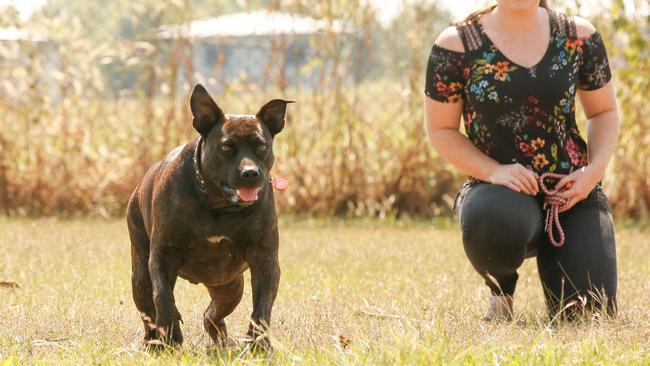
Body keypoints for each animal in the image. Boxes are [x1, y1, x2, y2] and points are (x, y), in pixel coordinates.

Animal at [127, 83, 294, 348]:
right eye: (226, 147)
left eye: (261, 146)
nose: (250, 172)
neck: (218, 205)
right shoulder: (163, 255)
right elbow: (163, 297)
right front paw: (170, 337)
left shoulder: (264, 258)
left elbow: (262, 308)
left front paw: (258, 346)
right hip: (140, 276)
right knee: (149, 311)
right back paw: (153, 342)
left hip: (228, 286)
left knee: (211, 314)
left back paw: (220, 339)